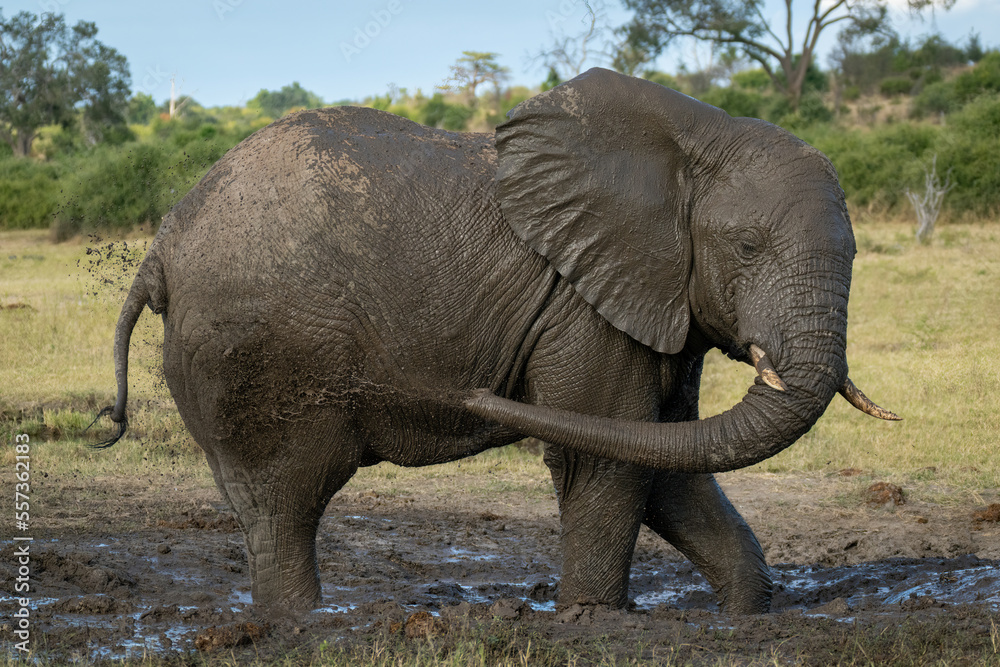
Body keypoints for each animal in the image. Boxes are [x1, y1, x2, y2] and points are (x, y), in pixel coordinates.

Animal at [97, 68, 897, 615]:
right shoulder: (583, 305)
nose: (478, 386)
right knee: (285, 500)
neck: (697, 137)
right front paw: (591, 620)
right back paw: (302, 622)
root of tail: (162, 246)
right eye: (748, 247)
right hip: (262, 351)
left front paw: (748, 611)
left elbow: (665, 454)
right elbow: (607, 454)